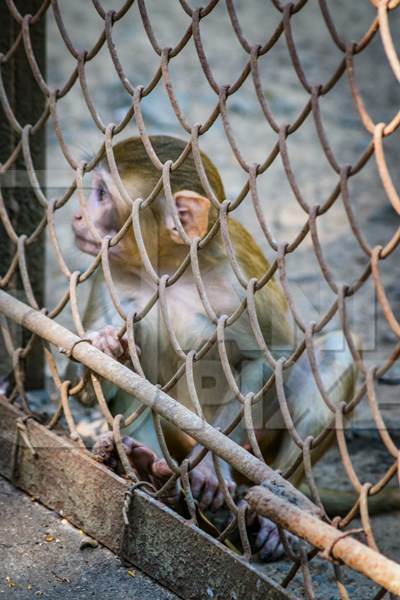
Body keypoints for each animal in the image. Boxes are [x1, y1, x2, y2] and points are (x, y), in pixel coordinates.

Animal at [72, 134, 356, 560]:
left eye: (102, 193)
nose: (77, 216)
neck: (172, 269)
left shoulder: (243, 286)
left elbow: (269, 359)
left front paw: (209, 468)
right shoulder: (112, 278)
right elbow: (107, 373)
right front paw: (106, 345)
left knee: (330, 352)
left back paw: (280, 515)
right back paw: (141, 461)